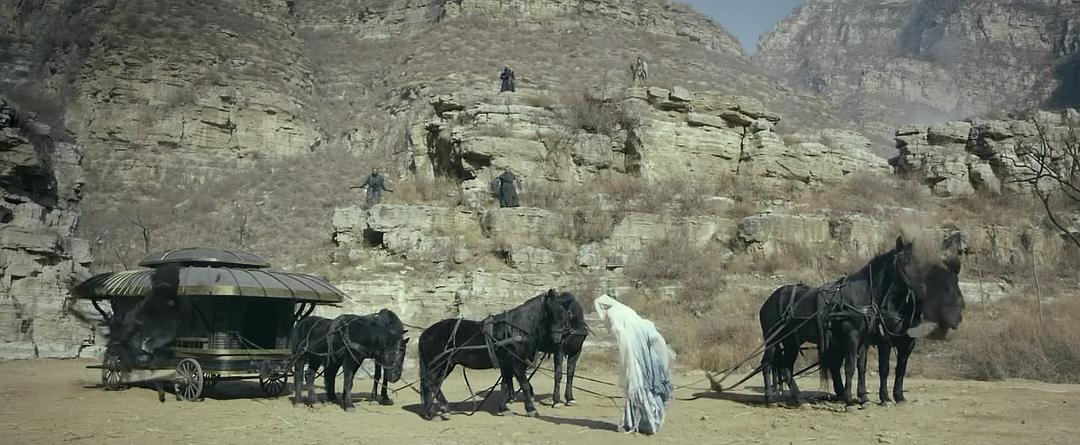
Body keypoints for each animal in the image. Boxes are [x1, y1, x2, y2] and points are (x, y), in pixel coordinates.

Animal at [417, 289, 574, 420]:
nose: (559, 339)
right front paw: (531, 409)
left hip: (447, 365)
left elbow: (506, 384)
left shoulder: (507, 365)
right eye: (554, 311)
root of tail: (425, 334)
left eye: (567, 314)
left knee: (435, 384)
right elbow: (524, 384)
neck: (516, 329)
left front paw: (503, 408)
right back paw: (433, 413)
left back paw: (441, 410)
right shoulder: (516, 363)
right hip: (439, 364)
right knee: (429, 383)